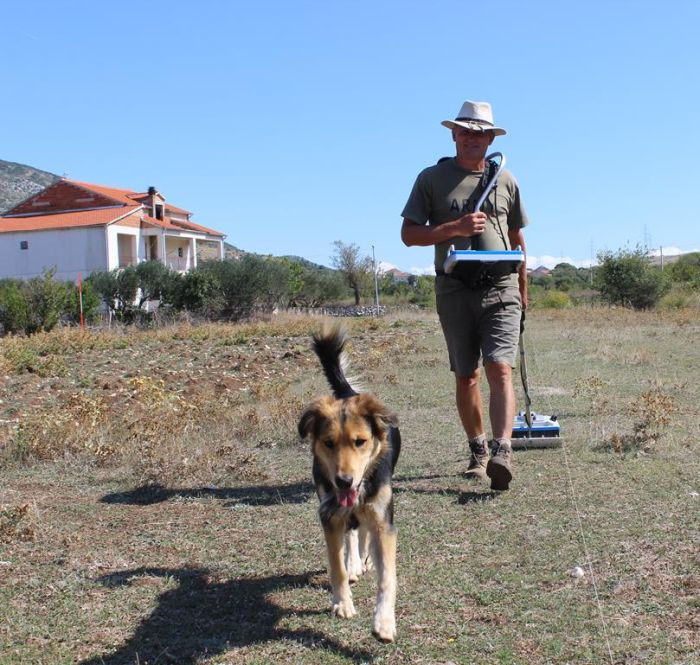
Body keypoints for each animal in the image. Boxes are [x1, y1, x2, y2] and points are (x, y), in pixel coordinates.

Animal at [298, 322, 402, 644]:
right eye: (328, 443)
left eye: (360, 441)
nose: (344, 481)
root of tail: (347, 392)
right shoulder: (329, 514)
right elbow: (337, 565)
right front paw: (342, 602)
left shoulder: (383, 518)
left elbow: (387, 575)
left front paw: (384, 621)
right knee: (353, 532)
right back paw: (355, 562)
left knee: (363, 529)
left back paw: (364, 560)